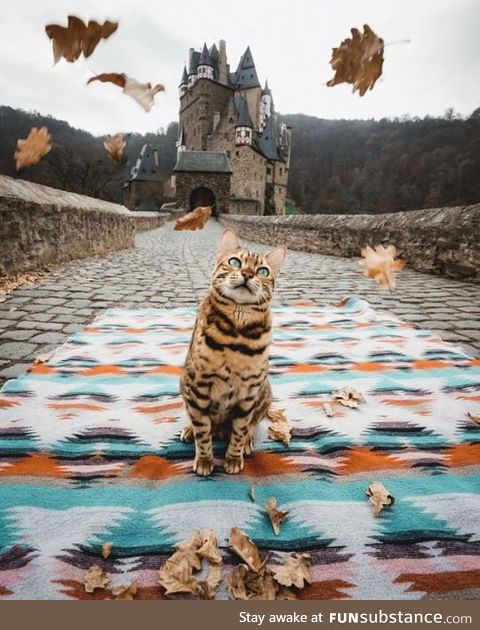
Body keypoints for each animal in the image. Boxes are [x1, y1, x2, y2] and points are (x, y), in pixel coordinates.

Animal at [179, 230, 284, 476]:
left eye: (263, 271)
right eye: (235, 262)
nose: (247, 273)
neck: (236, 333)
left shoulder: (247, 394)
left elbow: (240, 430)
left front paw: (234, 457)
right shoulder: (198, 386)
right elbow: (202, 431)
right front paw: (205, 459)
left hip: (265, 391)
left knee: (251, 425)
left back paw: (246, 443)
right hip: (184, 384)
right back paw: (189, 430)